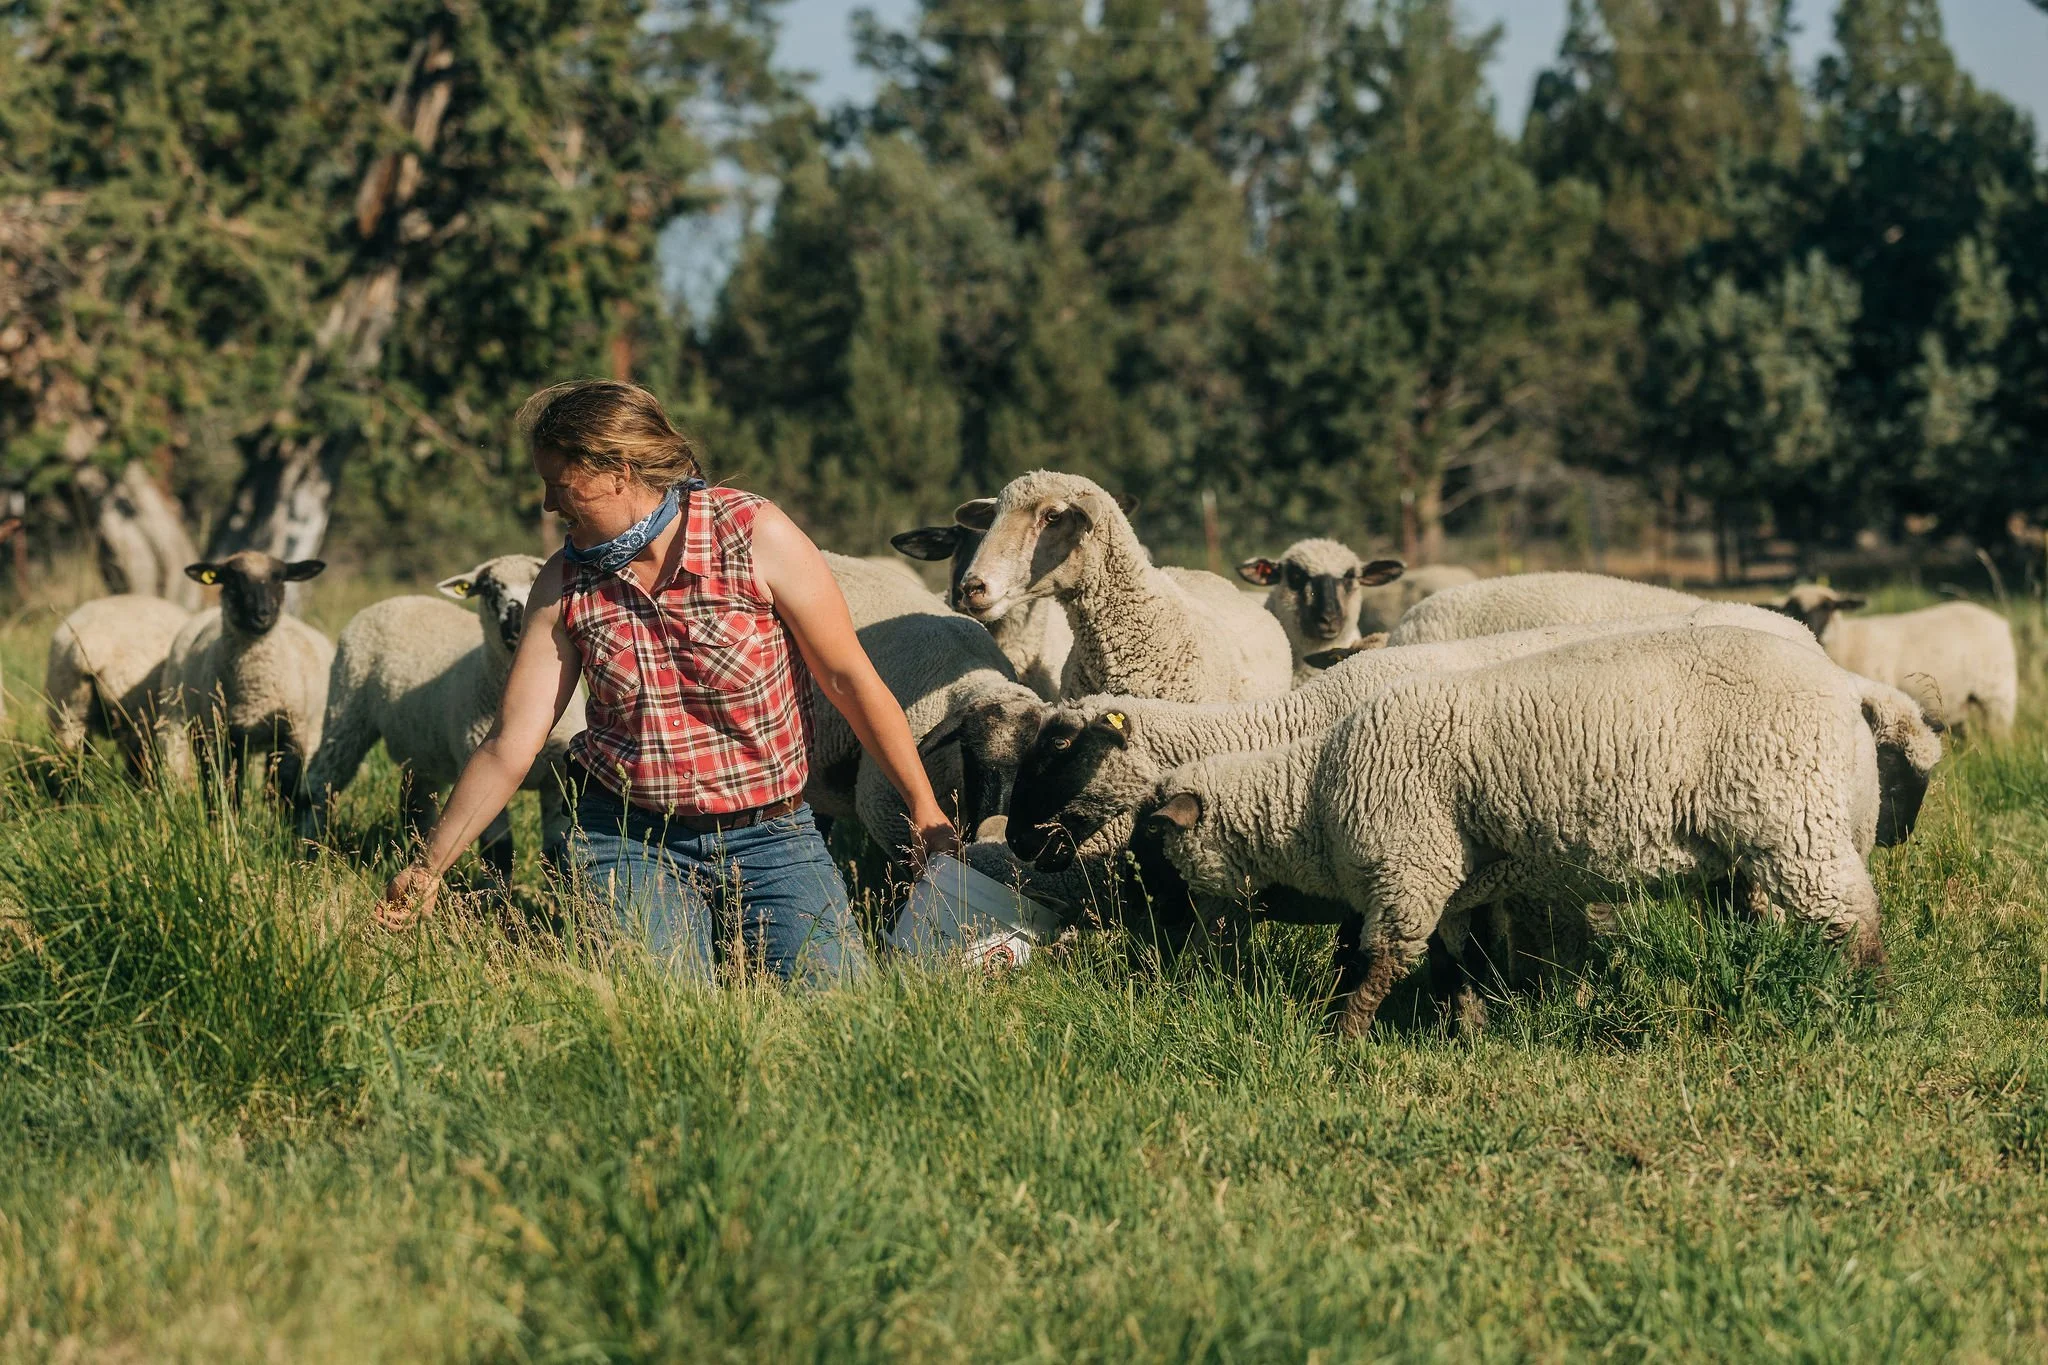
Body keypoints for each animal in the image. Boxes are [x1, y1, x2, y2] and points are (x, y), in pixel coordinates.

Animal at [154, 552, 333, 807]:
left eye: (279, 578)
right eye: (231, 579)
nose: (262, 615)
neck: (254, 692)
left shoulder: (292, 733)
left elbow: (283, 790)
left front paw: (281, 818)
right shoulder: (225, 735)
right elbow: (229, 788)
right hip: (187, 722)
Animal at [301, 555, 581, 877]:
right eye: (488, 590)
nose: (516, 627)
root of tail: (403, 598)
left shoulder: (556, 778)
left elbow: (557, 852)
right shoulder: (478, 760)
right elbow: (497, 851)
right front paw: (493, 892)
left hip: (419, 751)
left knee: (415, 805)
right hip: (346, 707)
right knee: (321, 781)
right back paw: (307, 850)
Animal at [1141, 625, 1919, 1035]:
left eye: (1169, 849)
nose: (1188, 955)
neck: (1311, 795)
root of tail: (1849, 690)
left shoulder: (1408, 871)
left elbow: (1380, 962)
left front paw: (1339, 1035)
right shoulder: (1450, 884)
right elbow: (1455, 961)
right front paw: (1468, 1031)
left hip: (1795, 824)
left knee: (1855, 921)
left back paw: (1873, 1011)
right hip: (1787, 835)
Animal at [1773, 584, 2017, 736]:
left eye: (1828, 607)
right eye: (1792, 608)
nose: (1810, 627)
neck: (1847, 640)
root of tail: (2001, 622)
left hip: (1998, 695)